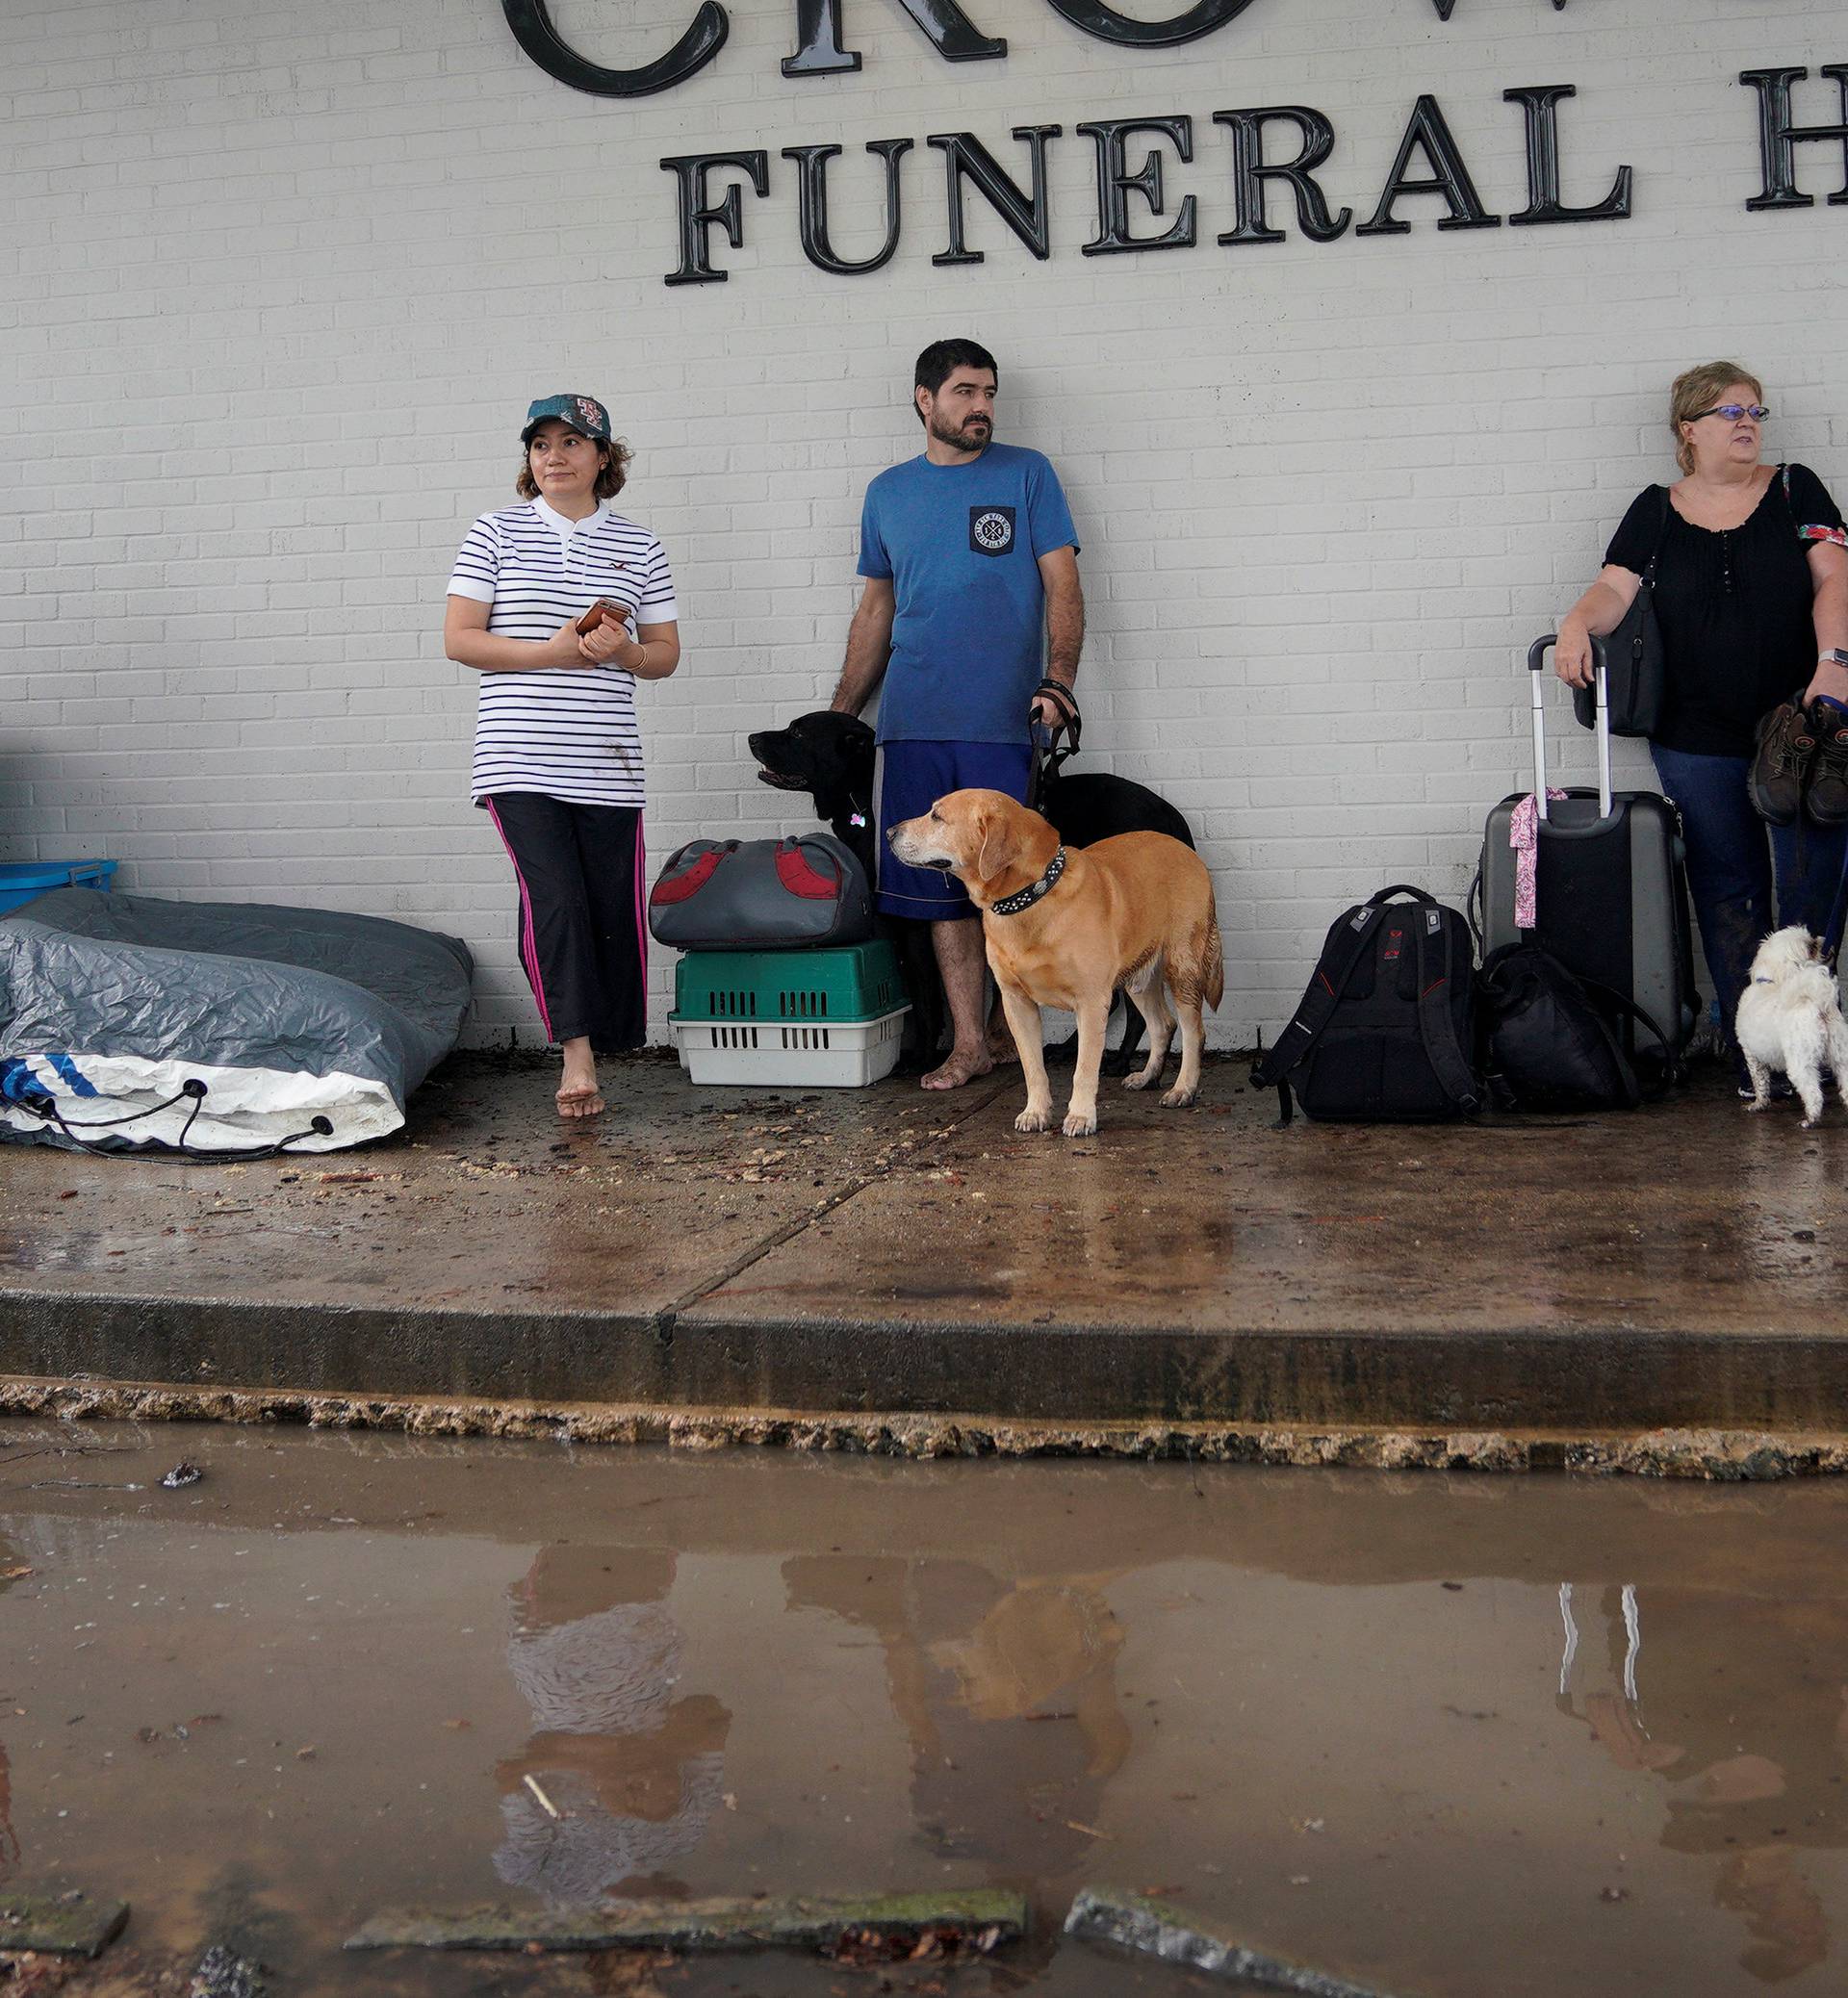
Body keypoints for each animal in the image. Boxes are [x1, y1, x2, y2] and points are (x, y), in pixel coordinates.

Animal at [886, 782, 1215, 1135]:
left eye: (937, 816)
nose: (889, 832)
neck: (1028, 899)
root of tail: (1183, 846)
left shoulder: (1091, 1002)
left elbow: (1084, 1069)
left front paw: (1081, 1116)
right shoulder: (1017, 1003)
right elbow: (1032, 1068)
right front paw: (1036, 1112)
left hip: (1182, 967)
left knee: (1193, 1031)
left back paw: (1183, 1089)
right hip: (1138, 977)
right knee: (1162, 1024)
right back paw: (1148, 1076)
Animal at [1733, 927, 1845, 1135]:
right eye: (1811, 946)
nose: (1826, 940)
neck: (1769, 982)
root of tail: (1816, 1003)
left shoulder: (1751, 1054)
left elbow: (1760, 1082)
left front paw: (1758, 1104)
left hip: (1800, 1062)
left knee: (1814, 1093)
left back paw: (1810, 1120)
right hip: (1840, 1056)